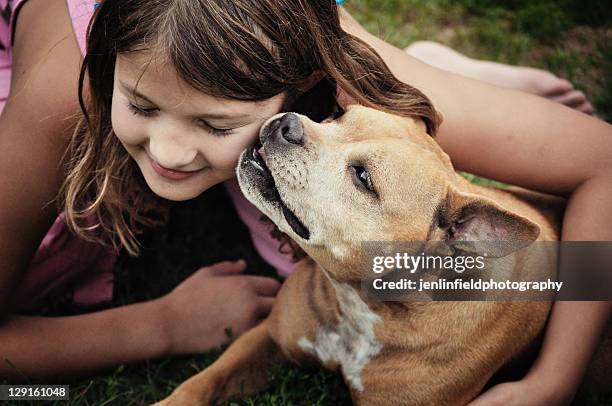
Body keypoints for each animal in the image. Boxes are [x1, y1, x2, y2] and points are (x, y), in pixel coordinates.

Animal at [159, 105, 612, 406]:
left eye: (363, 177)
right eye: (336, 117)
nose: (288, 123)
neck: (361, 310)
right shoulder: (267, 338)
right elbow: (201, 382)